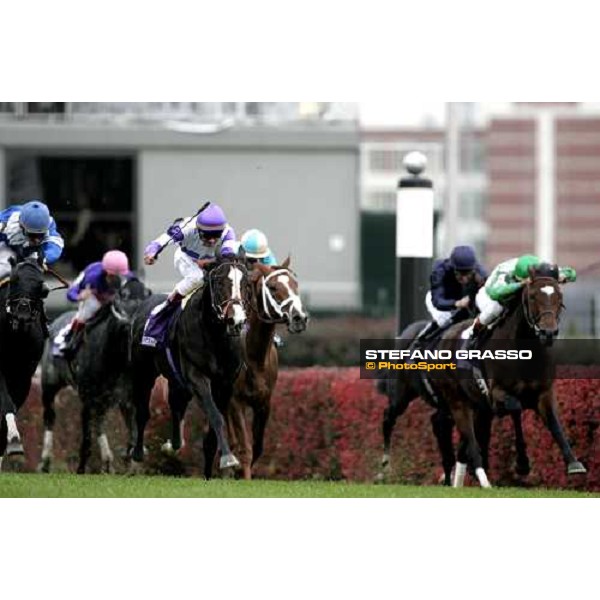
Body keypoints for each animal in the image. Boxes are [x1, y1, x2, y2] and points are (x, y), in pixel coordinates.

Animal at [38, 276, 151, 474]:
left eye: (147, 295)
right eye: (124, 295)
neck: (116, 358)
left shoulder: (127, 397)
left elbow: (133, 429)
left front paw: (132, 462)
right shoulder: (90, 394)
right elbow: (90, 431)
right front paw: (87, 466)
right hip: (50, 385)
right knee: (51, 417)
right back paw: (46, 461)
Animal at [129, 253, 251, 474]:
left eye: (245, 284)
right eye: (220, 282)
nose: (236, 320)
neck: (215, 337)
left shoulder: (225, 383)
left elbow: (212, 430)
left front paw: (214, 468)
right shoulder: (197, 376)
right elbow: (215, 416)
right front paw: (229, 459)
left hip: (177, 381)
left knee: (176, 405)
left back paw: (172, 446)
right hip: (143, 372)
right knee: (142, 411)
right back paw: (138, 452)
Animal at [217, 260, 310, 480]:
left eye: (295, 284)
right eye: (273, 287)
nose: (299, 318)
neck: (253, 357)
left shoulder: (264, 402)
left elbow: (258, 446)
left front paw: (239, 471)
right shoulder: (236, 402)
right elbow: (244, 448)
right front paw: (242, 475)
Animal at [436, 264, 584, 488]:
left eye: (559, 296)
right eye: (532, 296)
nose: (548, 333)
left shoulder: (544, 393)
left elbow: (554, 423)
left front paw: (574, 463)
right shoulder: (498, 393)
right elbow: (516, 409)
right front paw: (522, 463)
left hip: (478, 407)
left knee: (465, 445)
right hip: (458, 402)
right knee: (470, 440)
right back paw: (482, 479)